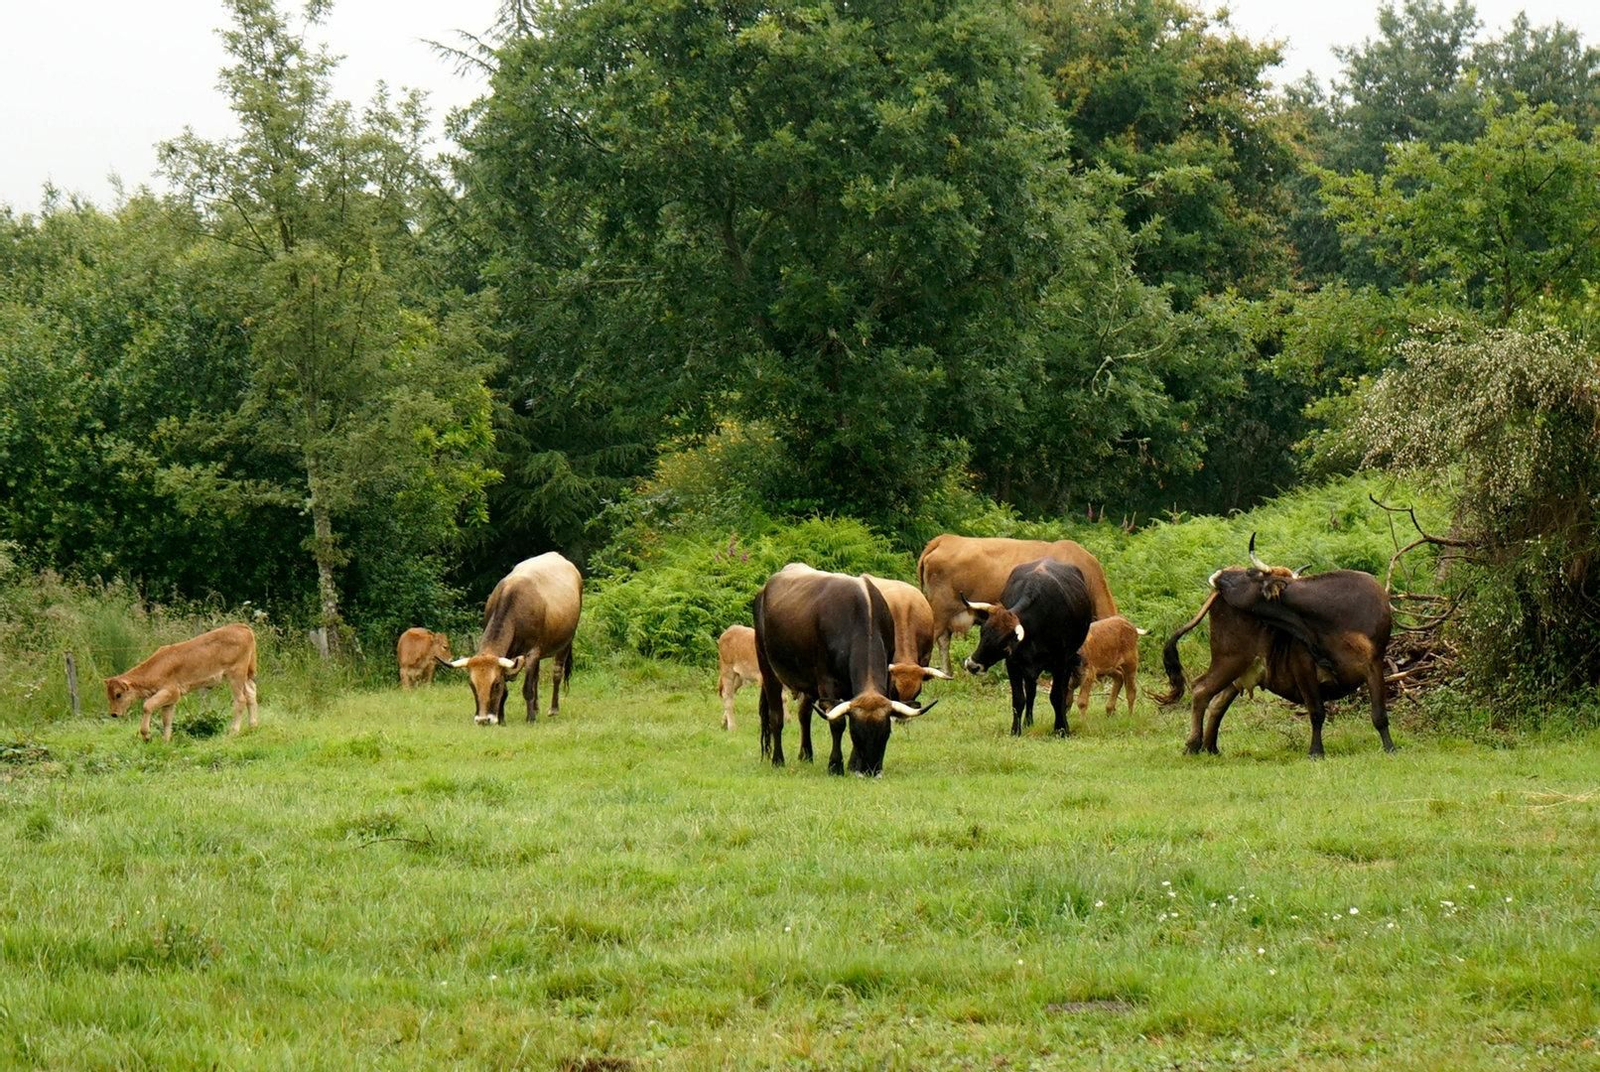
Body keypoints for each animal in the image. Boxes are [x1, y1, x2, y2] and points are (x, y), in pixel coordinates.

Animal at [104, 623, 259, 742]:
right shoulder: (170, 700)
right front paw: (165, 741)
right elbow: (166, 719)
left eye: (118, 694)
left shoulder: (171, 691)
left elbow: (147, 706)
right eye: (109, 696)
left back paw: (233, 732)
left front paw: (147, 736)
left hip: (236, 675)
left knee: (240, 700)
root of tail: (241, 626)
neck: (157, 666)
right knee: (251, 695)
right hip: (246, 677)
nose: (113, 714)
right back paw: (252, 726)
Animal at [441, 552, 582, 726]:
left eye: (495, 685)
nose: (483, 720)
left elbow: (527, 688)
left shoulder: (531, 652)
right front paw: (502, 718)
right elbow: (510, 689)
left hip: (565, 643)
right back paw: (536, 708)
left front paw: (530, 719)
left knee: (556, 673)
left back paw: (553, 709)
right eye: (472, 685)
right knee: (536, 677)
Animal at [751, 564, 933, 776]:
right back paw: (778, 759)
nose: (871, 769)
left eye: (886, 732)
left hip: (809, 684)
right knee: (776, 716)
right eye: (855, 733)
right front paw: (835, 765)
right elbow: (837, 723)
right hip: (768, 668)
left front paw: (852, 764)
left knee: (804, 714)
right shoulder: (827, 683)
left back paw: (806, 754)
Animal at [961, 559, 1094, 737]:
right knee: (1031, 691)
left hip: (1068, 661)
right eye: (982, 632)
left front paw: (1061, 729)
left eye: (1004, 644)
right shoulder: (1013, 664)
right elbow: (1018, 699)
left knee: (1063, 692)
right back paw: (1028, 722)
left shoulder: (1060, 662)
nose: (972, 665)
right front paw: (1015, 730)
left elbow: (1057, 696)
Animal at [1154, 535, 1396, 759]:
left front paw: (1390, 748)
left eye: (1250, 572)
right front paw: (1316, 751)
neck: (1334, 613)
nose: (1218, 574)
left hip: (1237, 669)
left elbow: (1379, 714)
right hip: (1230, 660)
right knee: (1201, 689)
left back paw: (1210, 747)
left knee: (1215, 701)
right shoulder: (1304, 667)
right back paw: (1193, 745)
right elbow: (1316, 712)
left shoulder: (1374, 663)